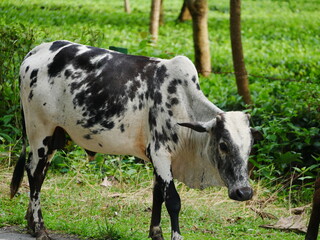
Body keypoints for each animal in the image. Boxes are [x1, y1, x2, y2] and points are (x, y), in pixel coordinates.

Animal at [10, 40, 258, 240]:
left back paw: (31, 223)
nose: (244, 193)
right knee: (34, 173)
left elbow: (157, 195)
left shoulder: (157, 158)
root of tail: (36, 50)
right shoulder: (161, 153)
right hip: (39, 131)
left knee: (41, 173)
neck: (184, 104)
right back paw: (40, 229)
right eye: (223, 145)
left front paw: (156, 233)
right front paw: (175, 236)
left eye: (249, 149)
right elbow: (173, 200)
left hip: (55, 136)